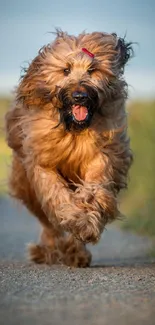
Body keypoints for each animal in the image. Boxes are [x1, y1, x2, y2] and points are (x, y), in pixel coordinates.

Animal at [4, 30, 133, 266]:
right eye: (65, 70)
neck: (73, 129)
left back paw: (75, 252)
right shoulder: (42, 161)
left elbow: (94, 189)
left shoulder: (101, 154)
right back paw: (48, 250)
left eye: (92, 70)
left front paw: (86, 224)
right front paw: (74, 217)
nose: (80, 96)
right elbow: (55, 194)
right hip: (26, 186)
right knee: (47, 221)